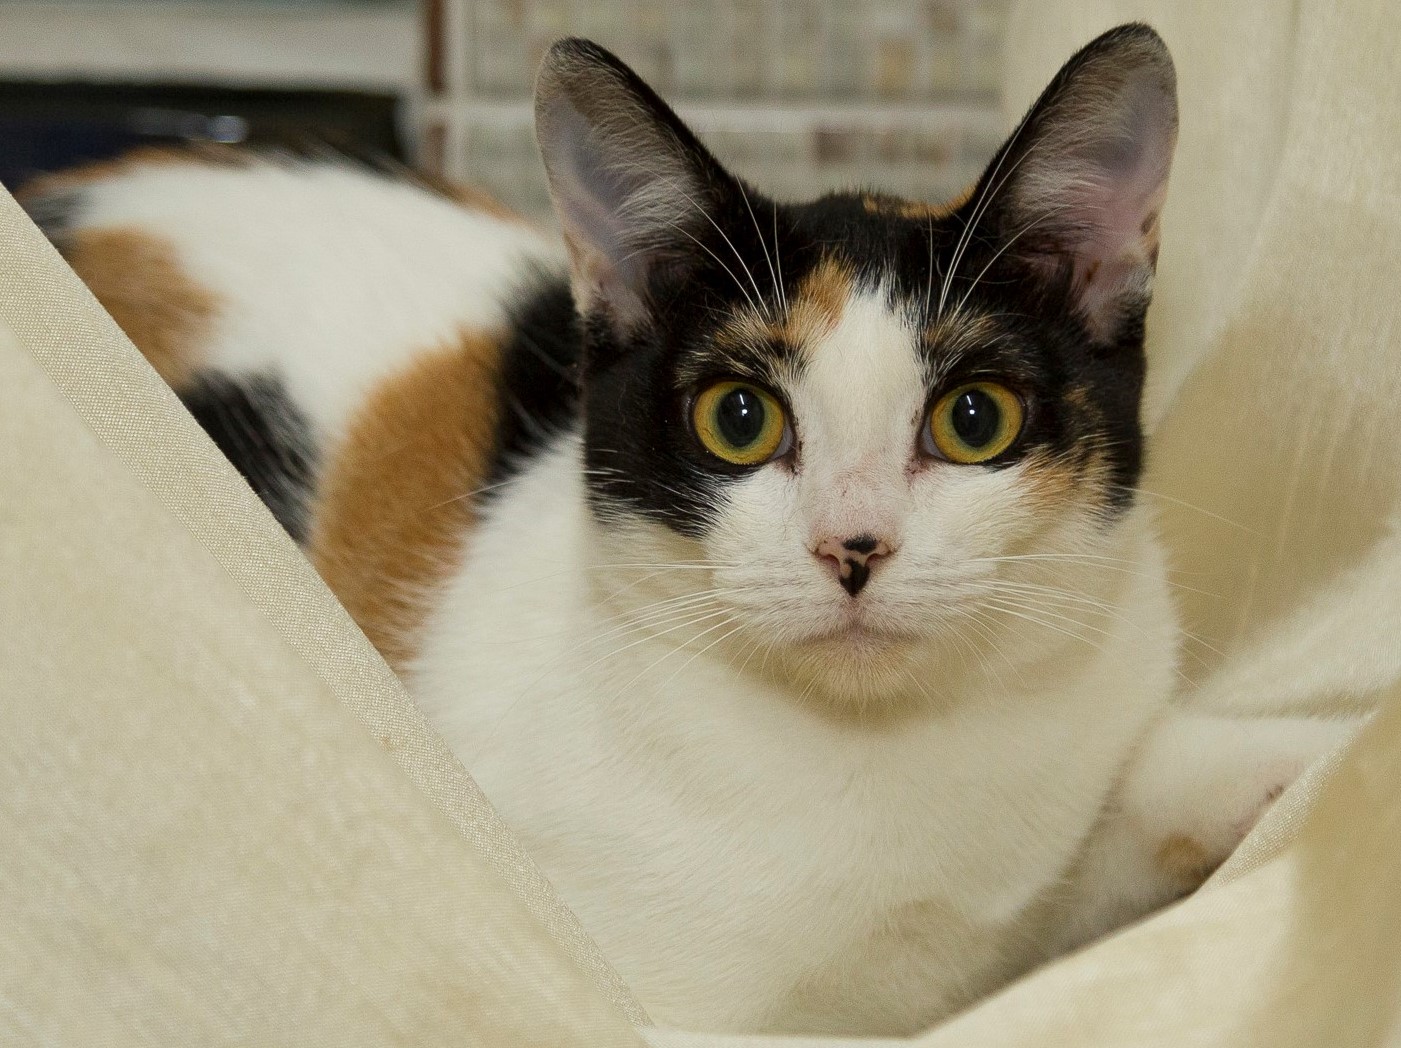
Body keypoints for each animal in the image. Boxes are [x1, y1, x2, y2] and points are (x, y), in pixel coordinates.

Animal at [21, 20, 1356, 1036]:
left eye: (976, 418)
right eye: (739, 418)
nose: (852, 546)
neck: (880, 758)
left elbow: (1135, 802)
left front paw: (1321, 760)